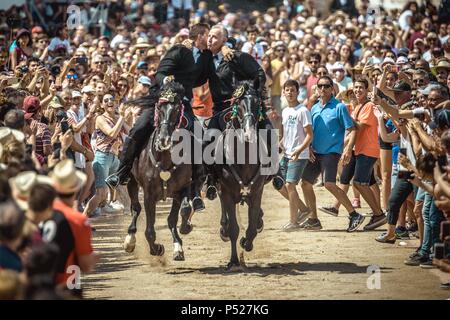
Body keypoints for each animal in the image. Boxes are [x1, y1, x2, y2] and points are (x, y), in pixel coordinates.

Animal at [123, 82, 193, 260]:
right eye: (159, 108)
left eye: (177, 109)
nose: (164, 139)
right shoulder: (149, 196)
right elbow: (149, 231)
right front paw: (157, 249)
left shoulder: (182, 189)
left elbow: (183, 211)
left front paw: (182, 234)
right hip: (132, 182)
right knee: (136, 208)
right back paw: (130, 240)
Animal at [209, 81, 272, 272]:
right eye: (239, 104)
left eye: (258, 103)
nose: (249, 133)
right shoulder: (227, 192)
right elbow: (234, 229)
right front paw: (234, 261)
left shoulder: (257, 191)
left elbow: (251, 227)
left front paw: (247, 242)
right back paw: (223, 229)